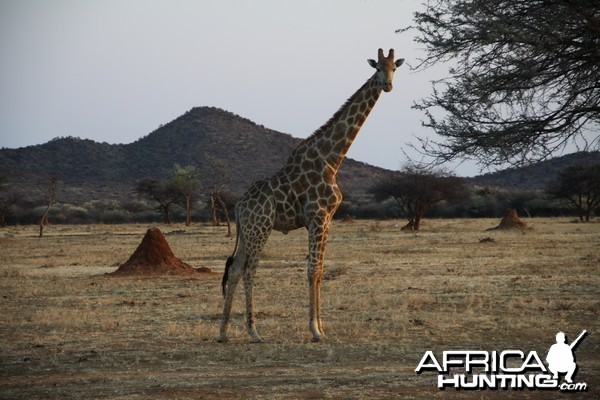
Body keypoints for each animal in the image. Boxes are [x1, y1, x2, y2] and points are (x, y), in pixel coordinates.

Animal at [216, 48, 404, 342]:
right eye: (377, 68)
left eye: (394, 68)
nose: (388, 85)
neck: (332, 159)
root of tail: (238, 206)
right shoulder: (317, 216)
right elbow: (312, 270)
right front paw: (314, 330)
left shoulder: (326, 220)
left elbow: (320, 270)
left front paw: (322, 327)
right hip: (260, 228)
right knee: (248, 270)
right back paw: (253, 331)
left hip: (246, 231)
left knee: (234, 269)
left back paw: (224, 332)